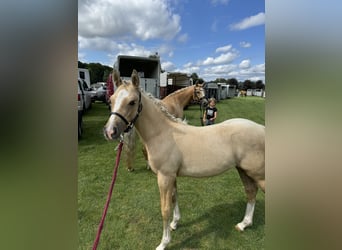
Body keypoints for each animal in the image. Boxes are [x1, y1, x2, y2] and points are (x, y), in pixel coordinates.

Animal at [103, 69, 264, 249]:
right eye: (111, 100)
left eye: (132, 102)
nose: (110, 132)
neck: (163, 133)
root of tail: (262, 129)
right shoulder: (171, 176)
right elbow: (174, 198)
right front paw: (175, 223)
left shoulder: (164, 177)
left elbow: (165, 209)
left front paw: (164, 242)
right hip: (244, 171)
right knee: (251, 192)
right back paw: (244, 224)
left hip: (258, 174)